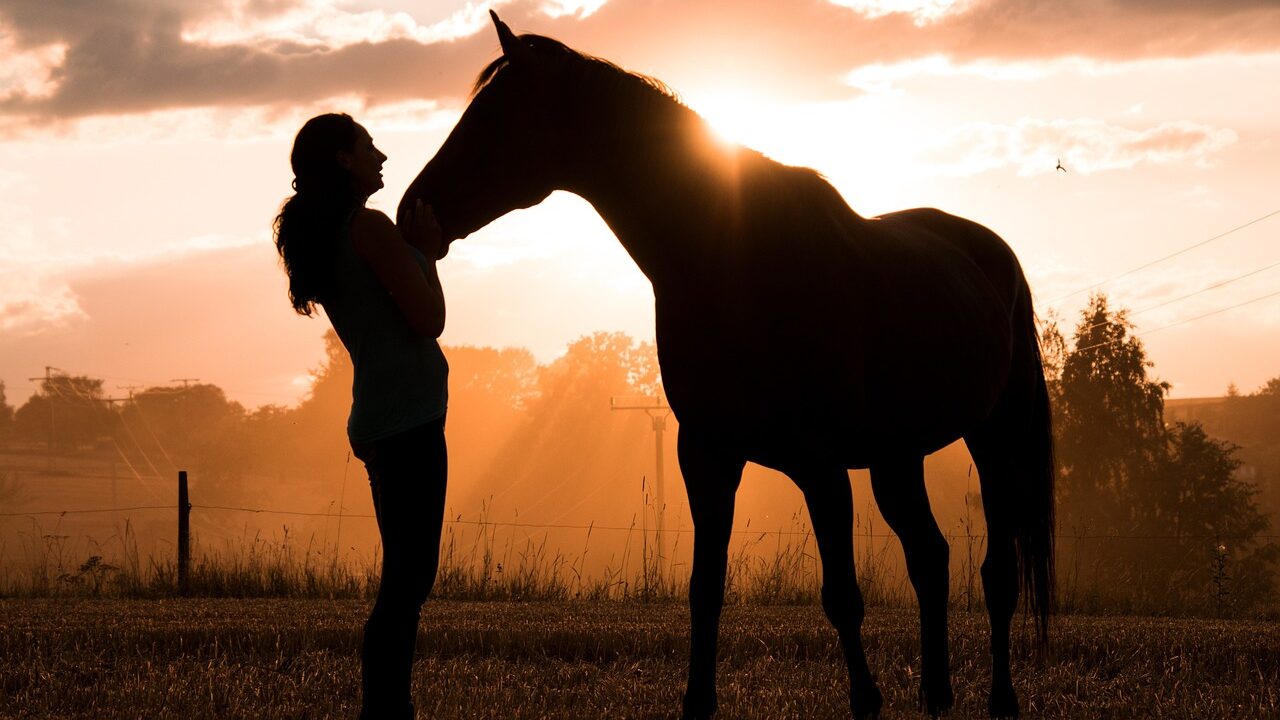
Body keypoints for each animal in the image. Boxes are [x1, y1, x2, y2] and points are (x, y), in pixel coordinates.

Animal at [404, 12, 1054, 717]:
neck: (734, 261)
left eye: (495, 115)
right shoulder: (706, 454)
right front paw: (698, 701)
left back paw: (1000, 699)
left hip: (994, 440)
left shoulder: (821, 465)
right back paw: (936, 694)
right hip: (895, 457)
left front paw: (865, 701)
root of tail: (991, 252)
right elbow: (704, 589)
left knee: (996, 574)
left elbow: (842, 597)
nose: (413, 210)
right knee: (930, 558)